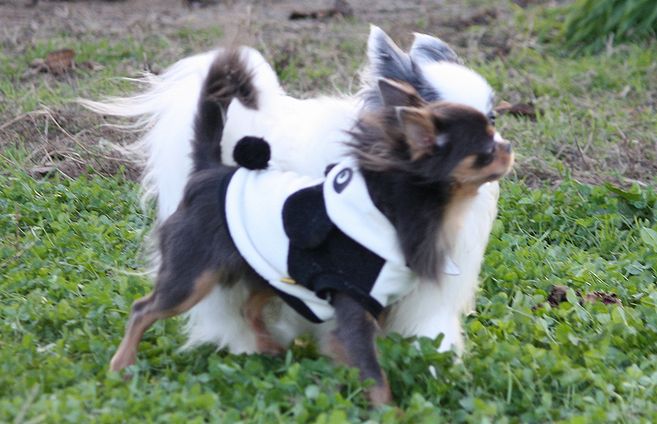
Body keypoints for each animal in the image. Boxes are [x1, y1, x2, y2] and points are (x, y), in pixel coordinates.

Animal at [109, 48, 513, 406]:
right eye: (486, 148)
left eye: (494, 121)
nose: (508, 144)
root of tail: (208, 170)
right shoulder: (354, 306)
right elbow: (373, 372)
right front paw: (390, 410)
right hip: (195, 277)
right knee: (144, 309)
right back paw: (122, 365)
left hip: (272, 272)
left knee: (250, 306)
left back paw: (268, 346)